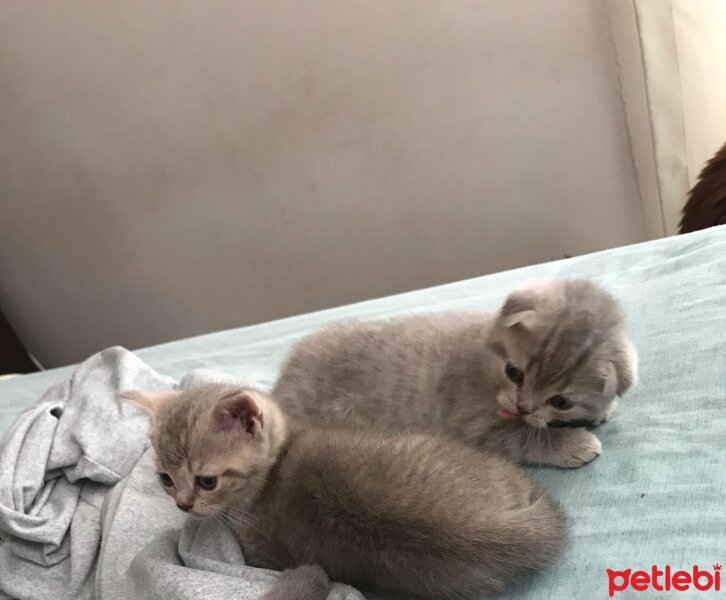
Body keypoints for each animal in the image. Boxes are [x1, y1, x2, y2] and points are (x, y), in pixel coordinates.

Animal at [274, 278, 644, 472]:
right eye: (514, 373)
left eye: (562, 402)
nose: (524, 407)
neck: (483, 362)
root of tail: (281, 386)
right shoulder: (476, 427)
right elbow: (524, 435)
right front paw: (572, 443)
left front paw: (602, 409)